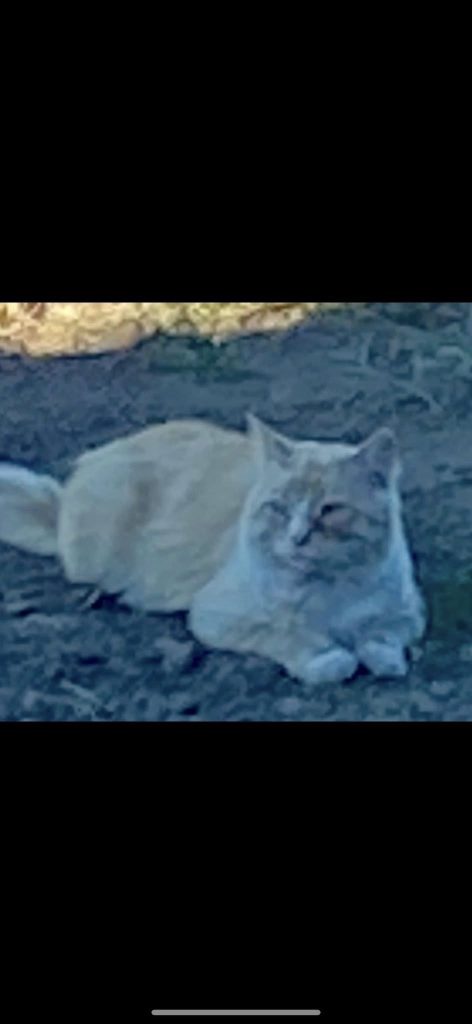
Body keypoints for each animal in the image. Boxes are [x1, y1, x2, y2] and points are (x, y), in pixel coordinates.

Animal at [0, 415, 426, 685]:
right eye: (279, 508)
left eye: (330, 510)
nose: (297, 538)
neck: (327, 591)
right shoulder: (218, 616)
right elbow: (287, 634)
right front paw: (331, 658)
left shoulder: (409, 614)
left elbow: (382, 635)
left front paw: (381, 656)